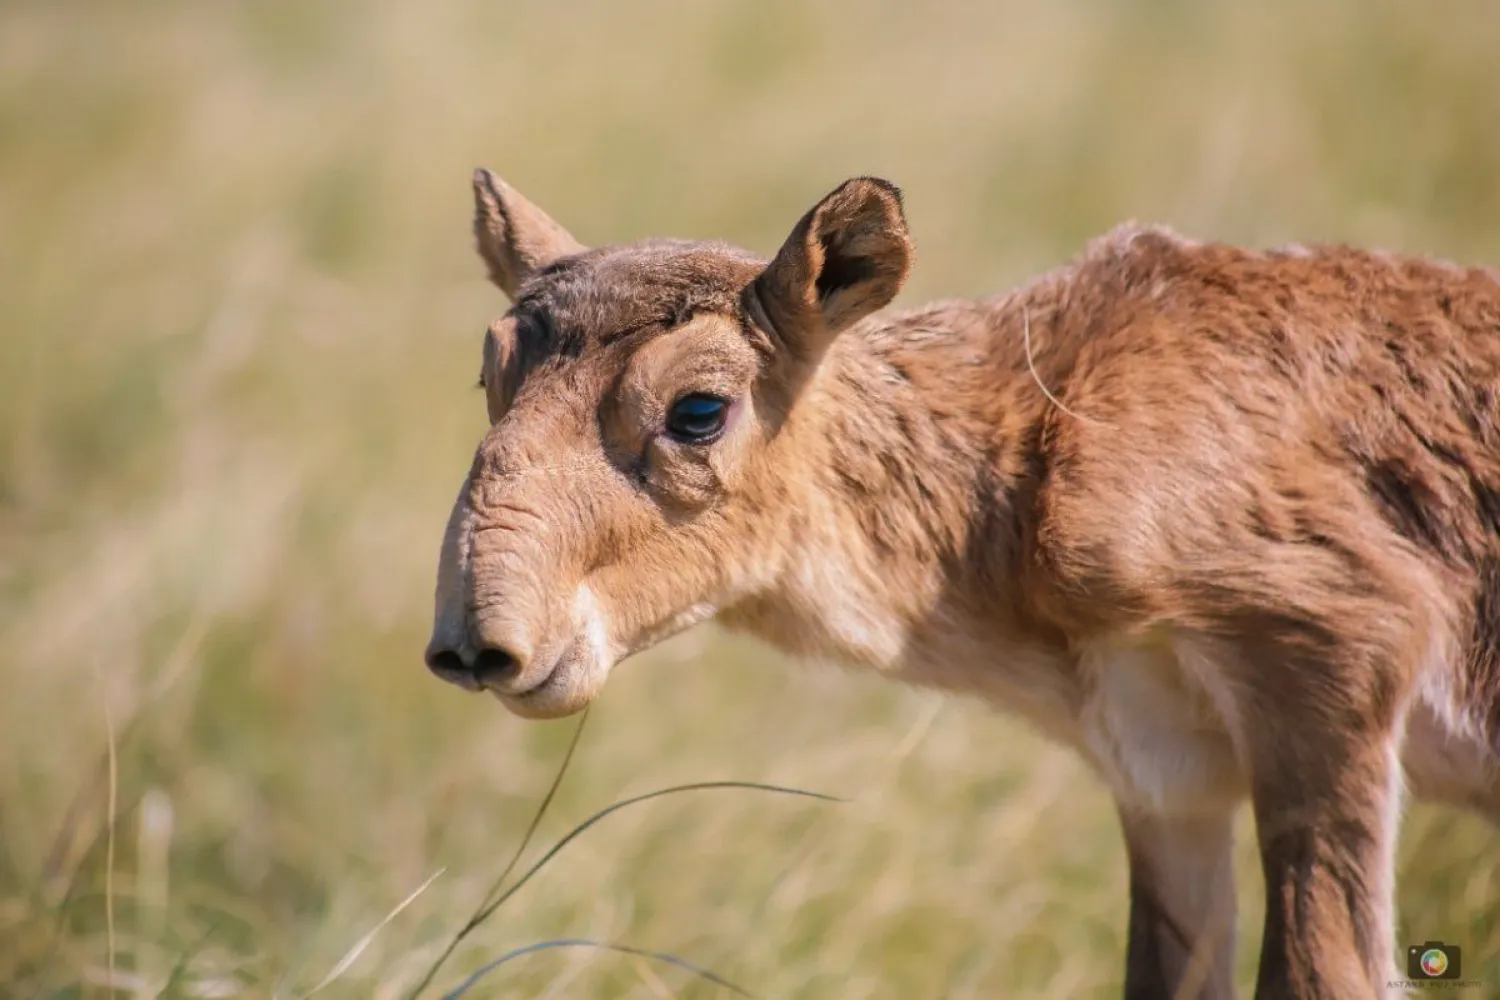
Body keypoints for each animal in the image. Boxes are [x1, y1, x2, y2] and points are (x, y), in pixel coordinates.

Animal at [423, 167, 1500, 995]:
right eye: (488, 374)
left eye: (698, 409)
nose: (477, 641)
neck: (1027, 458)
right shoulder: (1164, 772)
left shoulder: (1336, 664)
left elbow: (1327, 973)